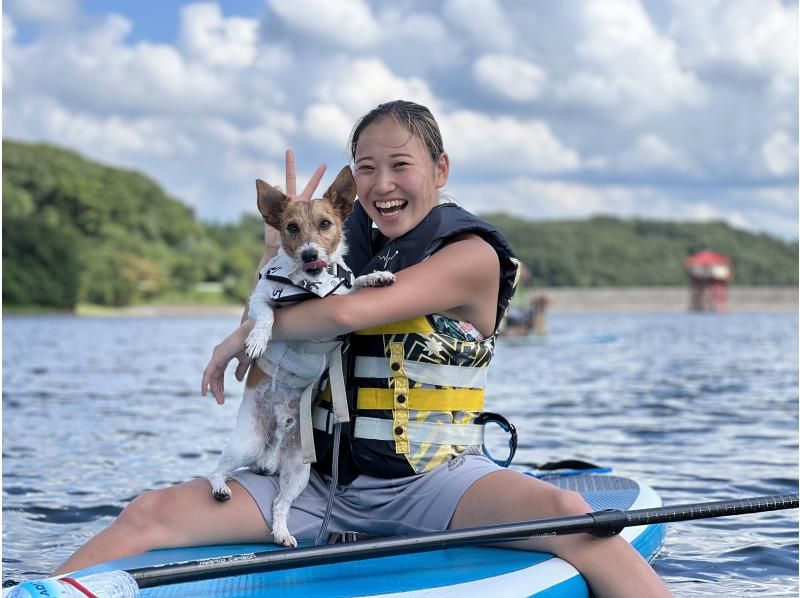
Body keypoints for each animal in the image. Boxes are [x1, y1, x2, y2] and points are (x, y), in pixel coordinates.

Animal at [206, 166, 394, 552]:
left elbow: (355, 282)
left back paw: (281, 531)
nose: (309, 255)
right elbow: (266, 315)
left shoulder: (343, 297)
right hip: (246, 444)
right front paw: (258, 340)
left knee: (280, 503)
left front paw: (377, 276)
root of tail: (275, 442)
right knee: (216, 470)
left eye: (325, 224)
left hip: (298, 471)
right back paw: (219, 488)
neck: (310, 289)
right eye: (291, 227)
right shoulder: (260, 298)